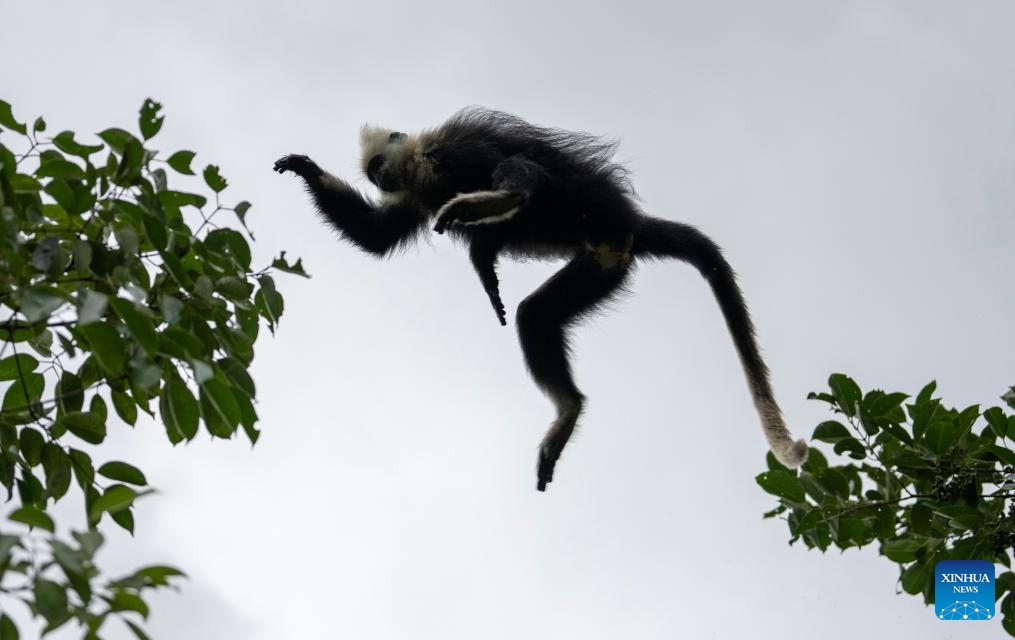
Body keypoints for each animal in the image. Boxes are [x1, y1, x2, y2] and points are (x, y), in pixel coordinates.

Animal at [272, 109, 807, 490]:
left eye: (379, 166)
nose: (380, 179)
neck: (424, 168)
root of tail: (630, 222)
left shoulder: (452, 146)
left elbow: (500, 169)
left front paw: (485, 249)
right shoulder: (414, 197)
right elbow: (378, 238)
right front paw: (307, 171)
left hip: (585, 212)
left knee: (521, 175)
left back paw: (497, 203)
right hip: (603, 264)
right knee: (536, 316)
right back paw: (568, 408)